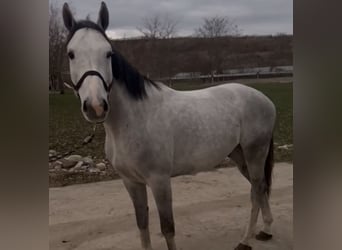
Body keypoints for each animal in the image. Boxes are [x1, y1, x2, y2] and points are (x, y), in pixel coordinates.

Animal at [61, 2, 276, 250]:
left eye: (108, 53)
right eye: (71, 54)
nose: (96, 106)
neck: (133, 119)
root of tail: (265, 99)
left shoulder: (159, 181)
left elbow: (167, 228)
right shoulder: (131, 182)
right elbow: (142, 224)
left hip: (255, 154)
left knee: (257, 190)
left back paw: (245, 240)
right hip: (240, 155)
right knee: (259, 189)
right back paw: (266, 230)